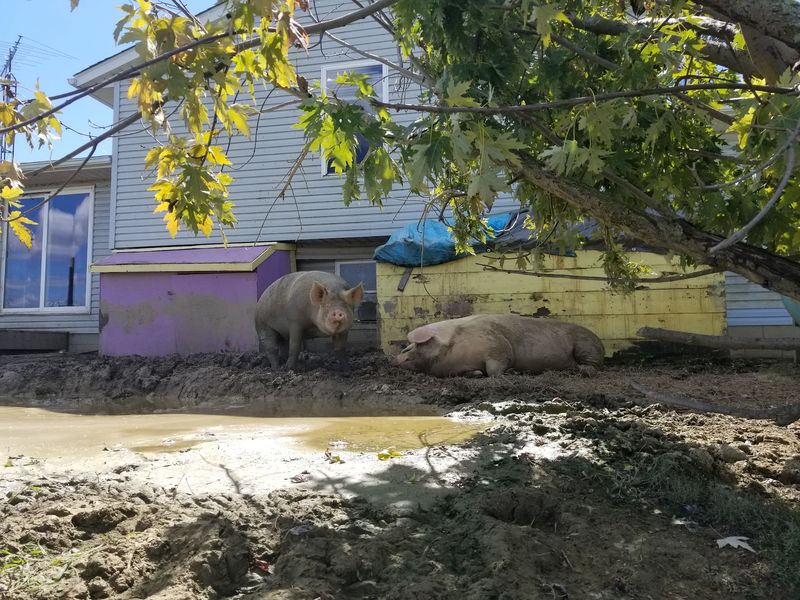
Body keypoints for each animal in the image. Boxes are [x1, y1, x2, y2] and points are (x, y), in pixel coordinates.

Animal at [393, 314, 604, 377]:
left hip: (585, 345)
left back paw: (582, 370)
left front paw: (512, 372)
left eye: (412, 347)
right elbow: (478, 372)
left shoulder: (498, 346)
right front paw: (477, 374)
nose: (396, 358)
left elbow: (496, 369)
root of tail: (601, 343)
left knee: (593, 364)